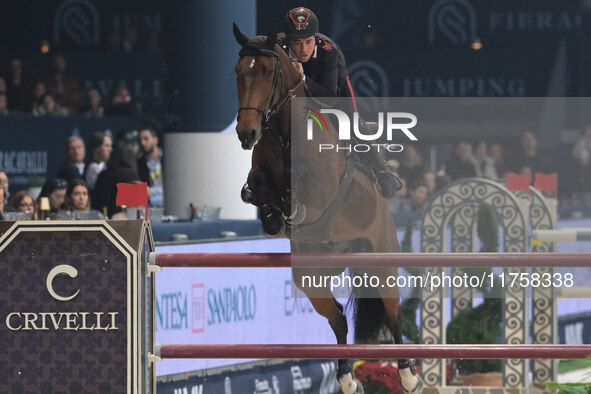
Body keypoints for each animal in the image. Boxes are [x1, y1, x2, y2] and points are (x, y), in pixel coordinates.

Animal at [234, 24, 424, 394]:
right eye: (238, 72)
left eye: (267, 72)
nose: (246, 133)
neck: (284, 133)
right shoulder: (261, 169)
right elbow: (256, 186)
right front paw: (272, 215)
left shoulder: (322, 185)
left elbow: (303, 183)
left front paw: (289, 205)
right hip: (310, 275)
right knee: (337, 317)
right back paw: (347, 378)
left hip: (382, 261)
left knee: (392, 311)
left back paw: (408, 374)